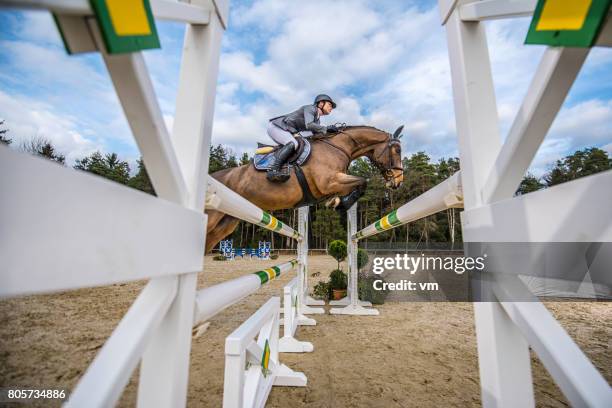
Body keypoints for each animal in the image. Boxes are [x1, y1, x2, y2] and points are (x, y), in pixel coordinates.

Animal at [207, 125, 406, 252]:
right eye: (397, 150)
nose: (398, 181)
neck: (338, 147)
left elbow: (357, 184)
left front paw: (335, 201)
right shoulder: (328, 181)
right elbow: (363, 181)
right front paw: (343, 203)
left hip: (226, 223)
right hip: (213, 216)